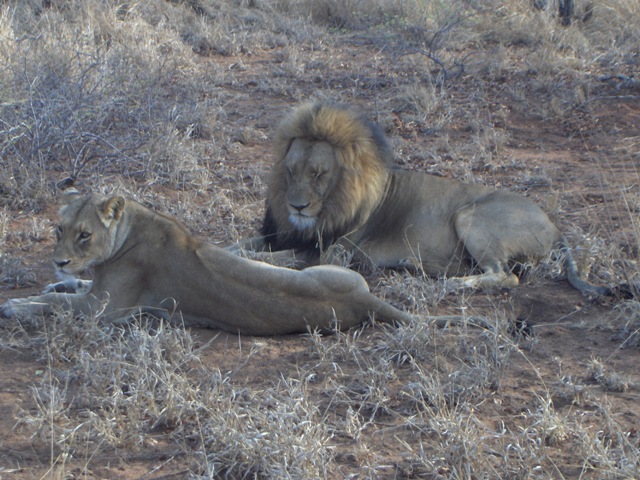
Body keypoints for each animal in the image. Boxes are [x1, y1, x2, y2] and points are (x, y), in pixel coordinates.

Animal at [0, 190, 424, 334]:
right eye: (59, 229)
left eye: (84, 235)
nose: (59, 261)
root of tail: (364, 301)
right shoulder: (97, 293)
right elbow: (70, 288)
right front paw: (58, 281)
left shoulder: (101, 310)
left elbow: (55, 304)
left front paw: (15, 306)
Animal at [234, 101, 616, 296]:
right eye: (291, 170)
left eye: (319, 174)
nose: (297, 206)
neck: (331, 205)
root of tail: (554, 227)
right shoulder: (288, 235)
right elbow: (242, 245)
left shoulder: (331, 252)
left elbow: (273, 260)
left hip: (469, 215)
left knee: (506, 276)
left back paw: (453, 282)